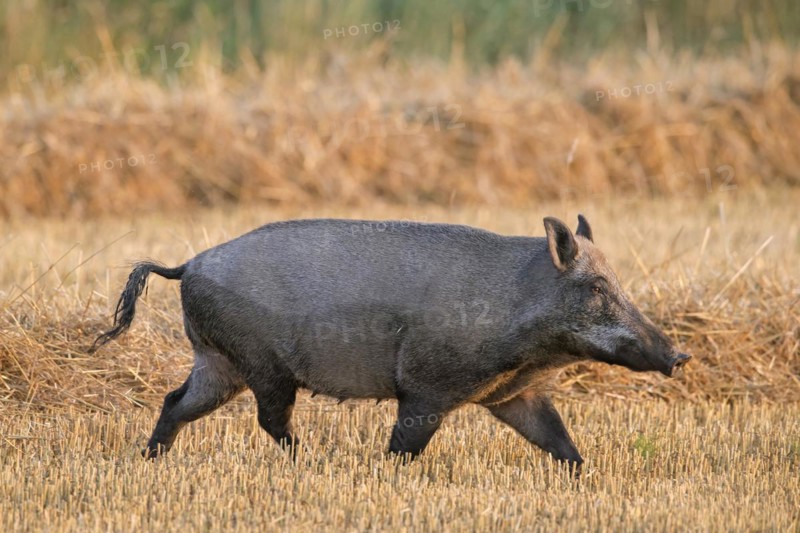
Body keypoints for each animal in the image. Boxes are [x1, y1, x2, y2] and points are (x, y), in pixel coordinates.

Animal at [91, 215, 690, 470]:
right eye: (595, 287)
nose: (679, 354)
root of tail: (187, 265)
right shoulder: (426, 389)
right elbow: (404, 447)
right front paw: (390, 475)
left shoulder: (514, 396)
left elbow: (561, 442)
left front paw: (585, 475)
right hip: (262, 365)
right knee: (270, 420)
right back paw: (310, 462)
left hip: (219, 363)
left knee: (175, 402)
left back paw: (151, 459)